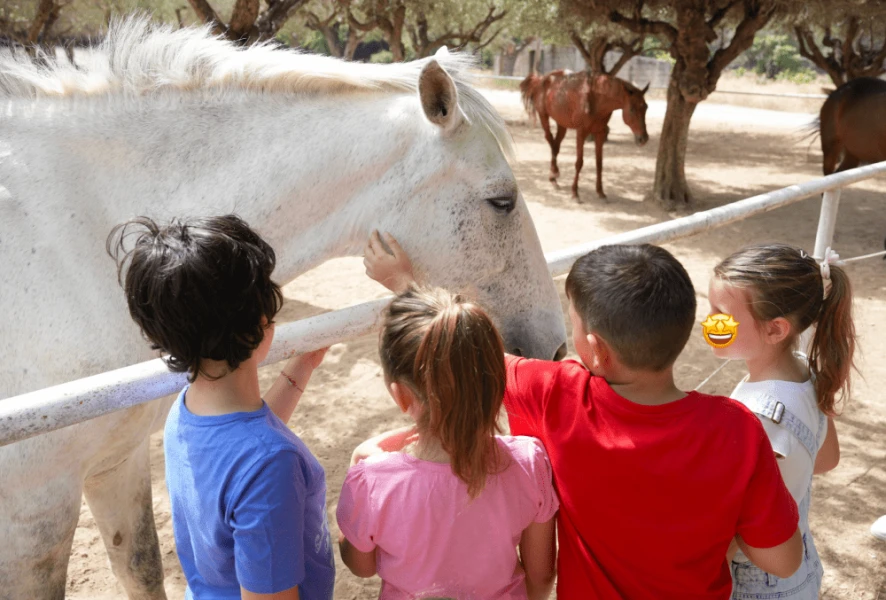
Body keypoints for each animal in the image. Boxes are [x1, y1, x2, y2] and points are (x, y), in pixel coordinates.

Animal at [0, 17, 567, 598]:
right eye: (501, 201)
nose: (555, 345)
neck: (84, 242)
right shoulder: (35, 513)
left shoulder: (117, 461)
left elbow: (142, 568)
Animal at [520, 70, 649, 200]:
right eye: (632, 109)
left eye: (646, 108)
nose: (643, 138)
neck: (596, 99)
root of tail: (541, 79)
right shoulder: (581, 132)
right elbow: (579, 163)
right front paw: (575, 192)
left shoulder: (600, 133)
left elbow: (599, 163)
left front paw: (600, 191)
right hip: (543, 116)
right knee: (550, 140)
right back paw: (555, 173)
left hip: (561, 123)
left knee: (556, 144)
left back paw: (553, 178)